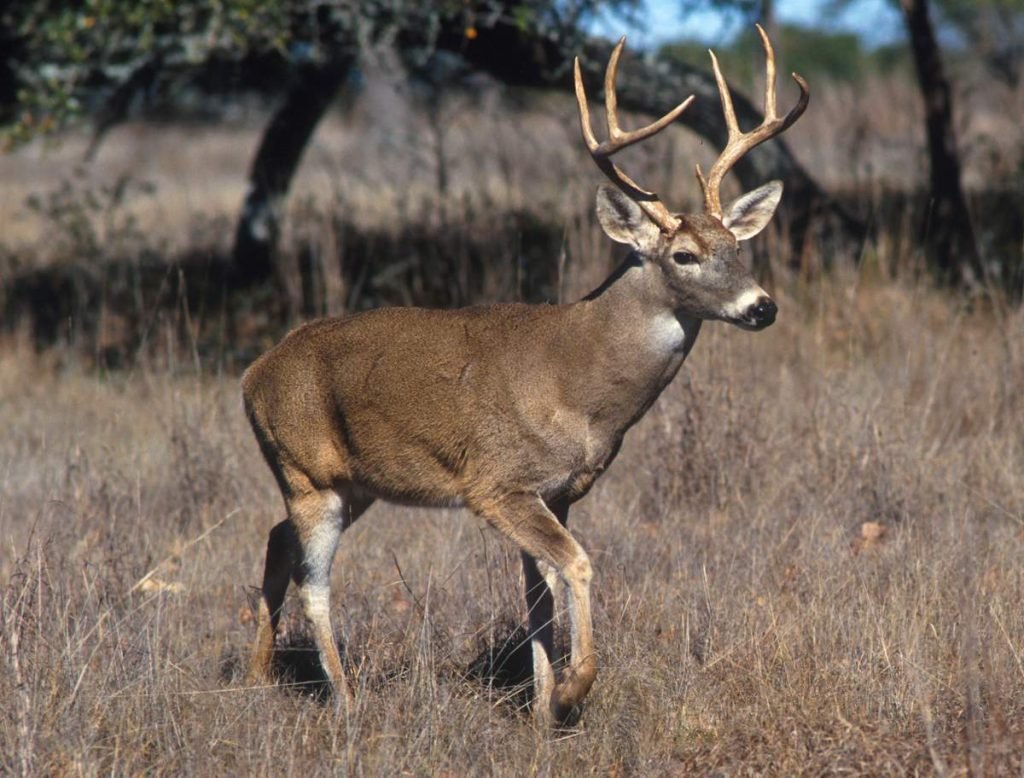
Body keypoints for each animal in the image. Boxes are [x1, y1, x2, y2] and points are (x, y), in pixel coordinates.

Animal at [241, 25, 806, 728]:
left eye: (737, 247)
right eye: (684, 255)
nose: (763, 307)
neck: (580, 385)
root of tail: (252, 376)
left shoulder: (557, 490)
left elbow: (538, 593)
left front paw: (539, 707)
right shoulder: (497, 483)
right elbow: (577, 566)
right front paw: (571, 691)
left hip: (352, 482)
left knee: (275, 541)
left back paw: (257, 676)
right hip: (307, 471)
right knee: (313, 580)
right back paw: (345, 701)